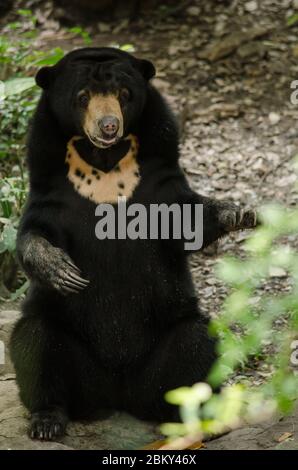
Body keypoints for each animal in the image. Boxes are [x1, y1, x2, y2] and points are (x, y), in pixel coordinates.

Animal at [9, 47, 256, 440]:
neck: (105, 161)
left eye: (124, 94)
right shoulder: (48, 179)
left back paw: (197, 417)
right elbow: (34, 231)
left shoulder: (158, 169)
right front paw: (62, 271)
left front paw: (241, 212)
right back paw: (48, 421)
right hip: (72, 359)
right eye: (82, 97)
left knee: (197, 342)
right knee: (34, 341)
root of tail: (119, 394)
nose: (109, 126)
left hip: (168, 347)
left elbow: (185, 218)